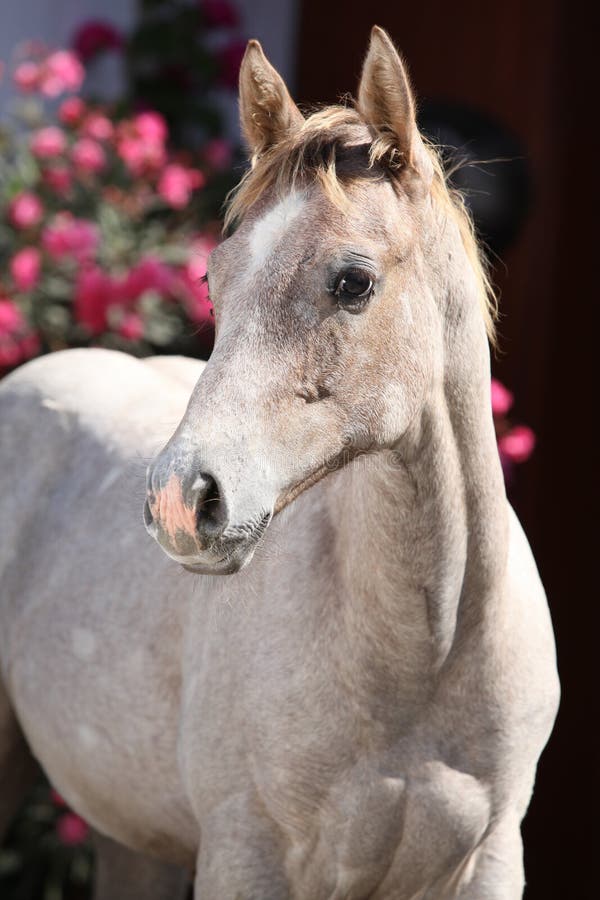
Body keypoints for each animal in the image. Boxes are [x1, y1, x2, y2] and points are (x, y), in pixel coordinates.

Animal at [2, 28, 560, 900]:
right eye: (212, 278)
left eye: (353, 281)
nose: (180, 500)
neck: (423, 657)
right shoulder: (246, 856)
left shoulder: (490, 862)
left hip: (135, 839)